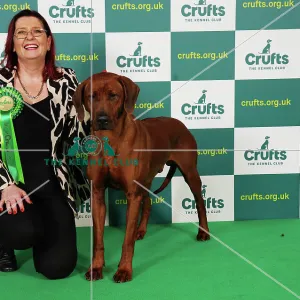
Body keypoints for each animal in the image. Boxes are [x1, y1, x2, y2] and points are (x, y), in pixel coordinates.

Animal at [71, 71, 210, 282]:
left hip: (190, 172)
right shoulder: (98, 192)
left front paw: (124, 270)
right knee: (148, 203)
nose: (102, 119)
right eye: (91, 96)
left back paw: (203, 232)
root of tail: (180, 123)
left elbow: (127, 240)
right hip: (146, 179)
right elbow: (98, 239)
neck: (111, 140)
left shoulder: (132, 194)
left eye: (113, 96)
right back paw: (141, 229)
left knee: (200, 202)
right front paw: (96, 268)